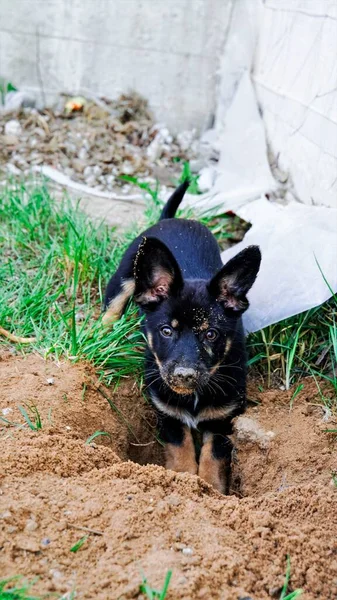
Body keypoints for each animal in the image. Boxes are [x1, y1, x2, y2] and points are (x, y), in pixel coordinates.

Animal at [102, 182, 260, 492]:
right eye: (166, 331)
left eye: (211, 334)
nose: (185, 375)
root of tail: (172, 218)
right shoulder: (169, 415)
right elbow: (182, 451)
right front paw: (183, 482)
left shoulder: (223, 420)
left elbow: (213, 458)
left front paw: (210, 490)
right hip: (125, 275)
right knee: (112, 306)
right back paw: (100, 338)